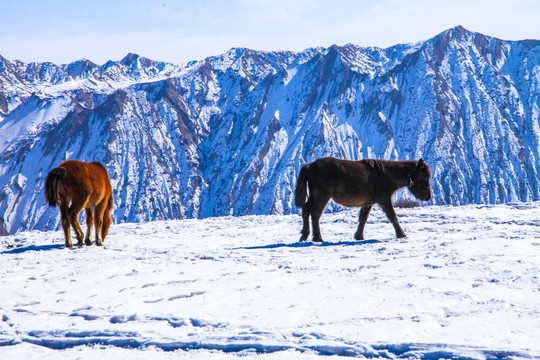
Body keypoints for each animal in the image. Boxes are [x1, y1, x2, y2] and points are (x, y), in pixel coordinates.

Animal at [294, 157, 432, 242]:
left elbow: (363, 219)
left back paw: (304, 235)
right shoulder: (384, 200)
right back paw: (317, 238)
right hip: (322, 196)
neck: (386, 175)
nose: (428, 196)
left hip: (315, 196)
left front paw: (359, 236)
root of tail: (310, 165)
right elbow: (392, 216)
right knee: (315, 214)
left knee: (306, 210)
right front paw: (401, 234)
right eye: (424, 177)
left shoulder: (368, 203)